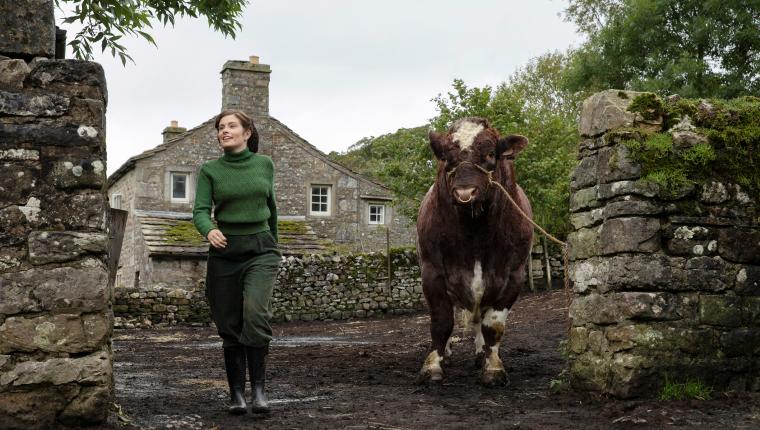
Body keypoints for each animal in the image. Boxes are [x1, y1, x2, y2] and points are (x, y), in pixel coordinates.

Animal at [416, 116, 536, 384]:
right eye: (446, 157)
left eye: (490, 153)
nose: (464, 192)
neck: (475, 231)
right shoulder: (432, 271)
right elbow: (441, 321)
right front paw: (433, 365)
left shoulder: (514, 275)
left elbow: (493, 324)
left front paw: (493, 367)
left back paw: (481, 353)